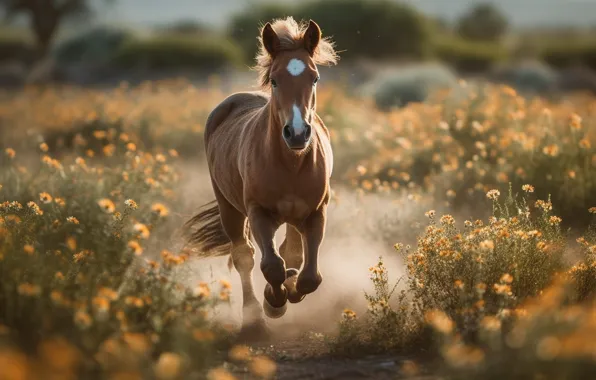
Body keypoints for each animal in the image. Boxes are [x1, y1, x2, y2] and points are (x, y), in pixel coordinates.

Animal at [184, 17, 338, 338]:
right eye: (276, 80)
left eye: (314, 78)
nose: (297, 133)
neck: (290, 163)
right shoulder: (258, 213)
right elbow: (270, 266)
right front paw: (273, 302)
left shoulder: (316, 212)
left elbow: (309, 276)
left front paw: (291, 288)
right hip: (228, 208)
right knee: (244, 256)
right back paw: (254, 316)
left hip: (293, 217)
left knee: (290, 253)